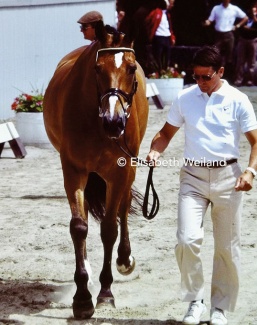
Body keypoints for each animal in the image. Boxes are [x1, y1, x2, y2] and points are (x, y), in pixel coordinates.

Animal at [43, 24, 148, 318]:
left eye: (131, 68)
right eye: (97, 69)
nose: (114, 122)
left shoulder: (120, 172)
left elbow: (110, 228)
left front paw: (105, 292)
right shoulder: (74, 170)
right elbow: (79, 227)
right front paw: (82, 298)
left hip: (128, 171)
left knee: (124, 207)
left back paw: (124, 259)